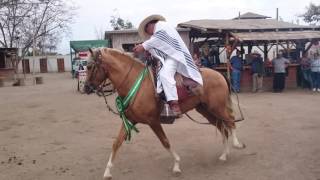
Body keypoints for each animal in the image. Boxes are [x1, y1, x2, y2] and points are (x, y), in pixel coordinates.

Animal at [84, 48, 244, 180]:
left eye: (90, 67)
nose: (86, 88)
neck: (135, 83)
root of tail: (219, 74)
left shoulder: (153, 121)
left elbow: (165, 142)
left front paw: (177, 165)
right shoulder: (129, 120)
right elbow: (116, 143)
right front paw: (107, 172)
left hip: (217, 107)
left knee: (230, 121)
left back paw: (236, 144)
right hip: (205, 110)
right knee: (222, 128)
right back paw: (224, 155)